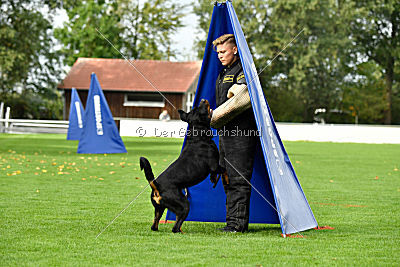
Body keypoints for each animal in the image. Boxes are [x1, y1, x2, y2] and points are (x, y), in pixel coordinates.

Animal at [139, 99, 227, 233]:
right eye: (200, 108)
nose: (203, 100)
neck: (198, 136)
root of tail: (156, 185)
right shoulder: (214, 165)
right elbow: (225, 169)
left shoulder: (214, 168)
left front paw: (213, 179)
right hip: (184, 204)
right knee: (176, 225)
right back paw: (181, 231)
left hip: (159, 208)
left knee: (155, 225)